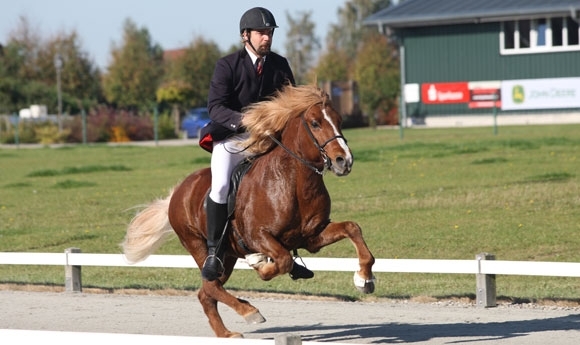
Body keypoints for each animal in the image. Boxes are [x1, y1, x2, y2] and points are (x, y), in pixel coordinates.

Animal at [122, 84, 376, 338]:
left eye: (339, 120)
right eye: (315, 123)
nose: (344, 161)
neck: (293, 181)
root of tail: (178, 192)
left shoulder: (312, 237)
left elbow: (352, 229)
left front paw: (364, 279)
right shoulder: (258, 236)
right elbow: (282, 260)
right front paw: (260, 265)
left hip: (228, 255)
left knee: (206, 293)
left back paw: (226, 333)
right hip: (198, 246)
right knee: (211, 284)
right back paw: (248, 311)